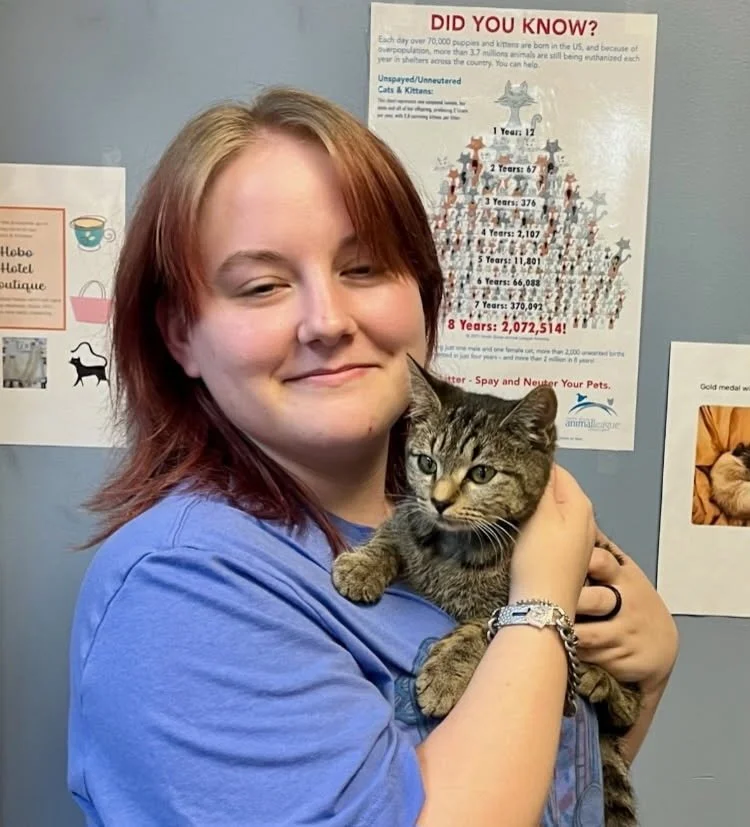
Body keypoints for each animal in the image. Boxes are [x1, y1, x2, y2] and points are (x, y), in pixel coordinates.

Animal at [332, 358, 641, 826]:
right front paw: (362, 565)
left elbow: (482, 627)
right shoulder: (410, 517)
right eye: (426, 463)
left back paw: (601, 681)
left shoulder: (502, 604)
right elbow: (394, 531)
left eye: (481, 473)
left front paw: (445, 674)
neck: (452, 548)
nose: (439, 501)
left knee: (630, 707)